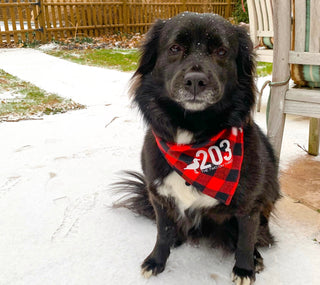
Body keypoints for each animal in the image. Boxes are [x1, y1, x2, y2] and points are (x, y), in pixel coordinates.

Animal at [113, 12, 280, 284]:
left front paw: (245, 268)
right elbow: (162, 232)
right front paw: (156, 260)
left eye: (221, 51)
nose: (195, 81)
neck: (194, 145)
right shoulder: (159, 197)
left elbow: (246, 239)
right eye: (175, 48)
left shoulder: (249, 205)